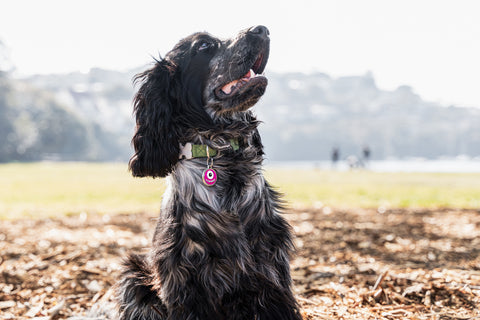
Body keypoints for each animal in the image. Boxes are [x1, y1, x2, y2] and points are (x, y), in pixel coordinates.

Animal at [116, 25, 302, 320]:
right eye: (203, 46)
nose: (261, 30)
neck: (221, 151)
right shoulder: (186, 285)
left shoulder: (270, 272)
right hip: (133, 276)